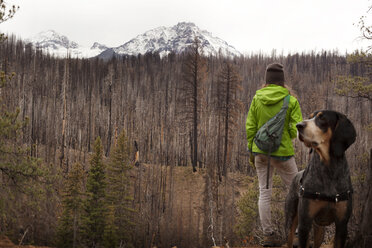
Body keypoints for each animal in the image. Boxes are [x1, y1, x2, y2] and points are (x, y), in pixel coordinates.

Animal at [284, 111, 358, 248]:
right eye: (309, 117)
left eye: (322, 118)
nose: (299, 125)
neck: (329, 170)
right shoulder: (304, 224)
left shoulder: (342, 225)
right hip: (291, 223)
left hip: (320, 230)